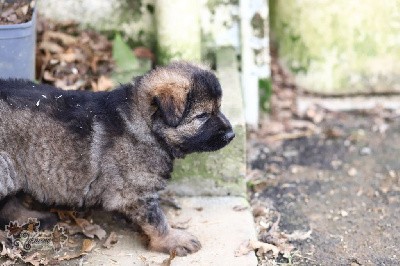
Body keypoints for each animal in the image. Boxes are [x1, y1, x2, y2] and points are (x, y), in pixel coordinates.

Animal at [0, 61, 234, 256]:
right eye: (202, 116)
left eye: (219, 108)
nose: (232, 135)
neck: (145, 123)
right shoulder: (136, 192)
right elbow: (156, 220)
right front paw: (173, 240)